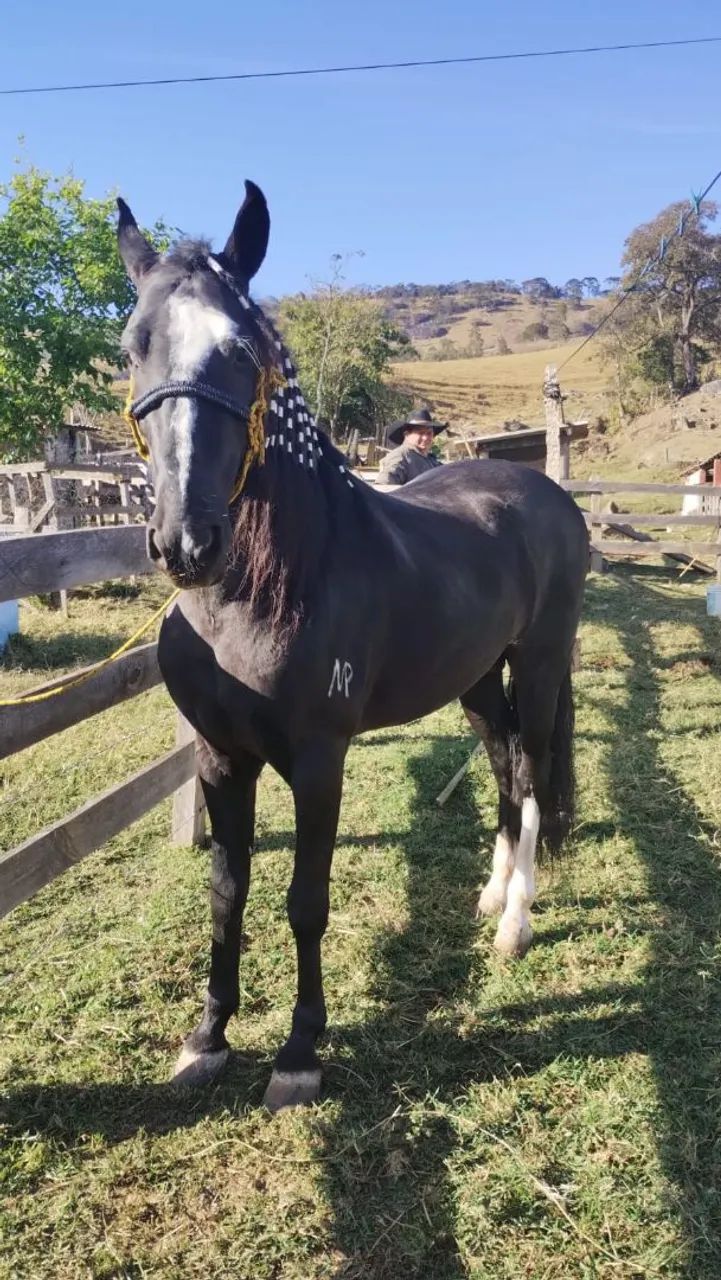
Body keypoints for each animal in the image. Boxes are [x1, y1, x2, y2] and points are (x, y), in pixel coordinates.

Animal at [117, 181, 589, 1111]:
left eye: (241, 349)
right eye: (133, 345)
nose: (186, 542)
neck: (258, 594)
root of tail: (541, 491)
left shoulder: (317, 760)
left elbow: (305, 899)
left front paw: (300, 1053)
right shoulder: (221, 758)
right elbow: (226, 892)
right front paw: (207, 1039)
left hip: (541, 660)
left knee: (531, 772)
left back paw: (516, 923)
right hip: (477, 680)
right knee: (502, 761)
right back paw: (489, 897)